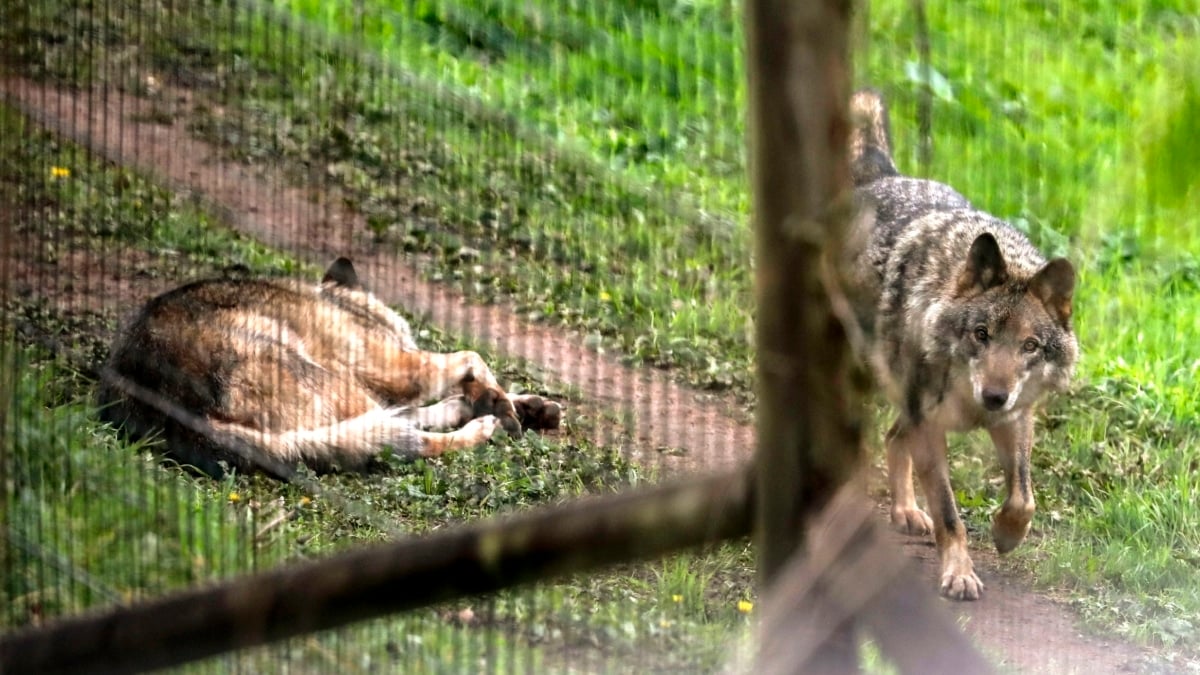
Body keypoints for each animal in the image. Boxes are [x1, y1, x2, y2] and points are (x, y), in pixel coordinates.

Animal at [98, 255, 561, 478]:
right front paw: (502, 405)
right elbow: (472, 359)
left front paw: (525, 405)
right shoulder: (400, 368)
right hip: (338, 383)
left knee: (398, 425)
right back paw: (481, 426)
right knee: (409, 439)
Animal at [844, 89, 1080, 598]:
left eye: (1030, 346)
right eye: (981, 334)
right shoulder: (931, 426)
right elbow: (950, 515)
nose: (993, 396)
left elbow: (1024, 498)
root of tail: (884, 175)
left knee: (892, 438)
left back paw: (906, 511)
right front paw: (959, 572)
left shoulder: (1014, 419)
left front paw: (1006, 536)